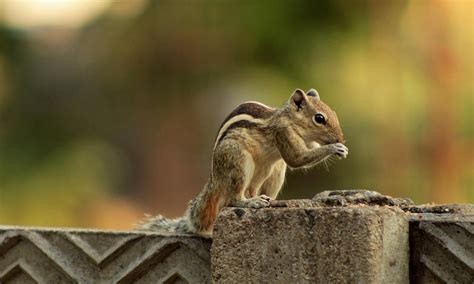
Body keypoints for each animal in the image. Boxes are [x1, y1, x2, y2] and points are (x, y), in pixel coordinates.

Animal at [137, 87, 348, 236]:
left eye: (334, 113)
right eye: (319, 118)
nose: (340, 138)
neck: (289, 119)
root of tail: (215, 180)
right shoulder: (283, 133)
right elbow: (296, 158)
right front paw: (335, 148)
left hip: (273, 171)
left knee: (254, 190)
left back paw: (267, 200)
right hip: (239, 161)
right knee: (234, 199)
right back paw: (251, 202)